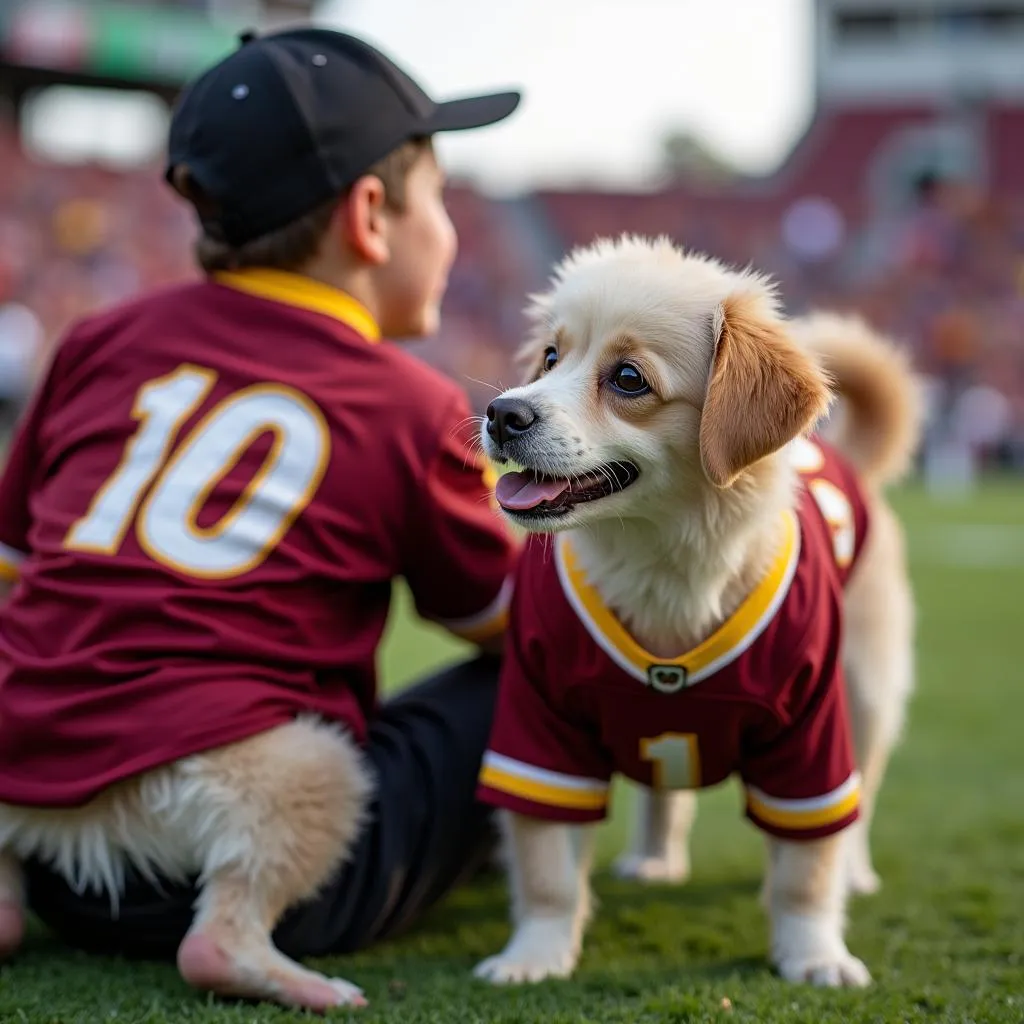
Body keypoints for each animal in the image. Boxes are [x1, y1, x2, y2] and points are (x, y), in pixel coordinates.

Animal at [471, 235, 921, 987]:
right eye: (551, 358)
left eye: (628, 379)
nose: (503, 412)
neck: (664, 567)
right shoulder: (537, 731)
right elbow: (546, 869)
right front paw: (533, 957)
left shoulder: (811, 739)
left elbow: (806, 868)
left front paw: (815, 956)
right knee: (665, 793)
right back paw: (654, 861)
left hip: (866, 692)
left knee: (860, 800)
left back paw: (855, 874)